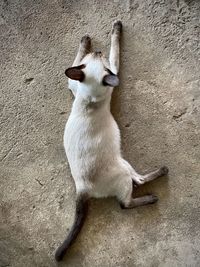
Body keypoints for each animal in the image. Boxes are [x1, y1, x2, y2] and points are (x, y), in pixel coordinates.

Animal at [55, 20, 169, 262]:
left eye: (96, 57)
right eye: (102, 61)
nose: (97, 51)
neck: (89, 98)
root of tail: (81, 188)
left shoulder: (73, 83)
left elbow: (75, 61)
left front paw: (86, 40)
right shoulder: (114, 70)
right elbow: (114, 47)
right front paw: (114, 29)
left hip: (123, 165)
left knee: (131, 191)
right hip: (124, 167)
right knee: (129, 197)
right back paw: (155, 190)